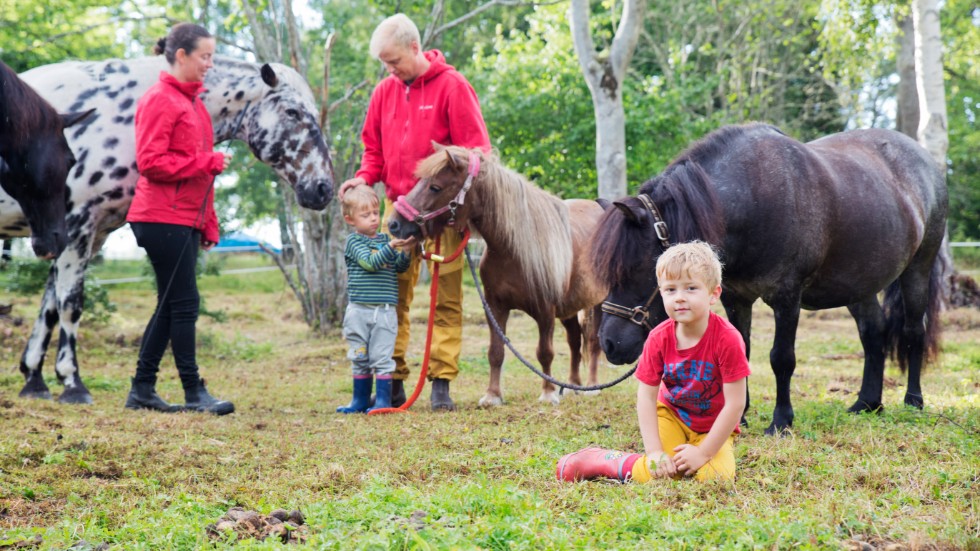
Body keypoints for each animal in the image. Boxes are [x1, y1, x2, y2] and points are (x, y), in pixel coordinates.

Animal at [388, 144, 604, 408]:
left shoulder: (545, 311)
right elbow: (496, 352)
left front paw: (548, 393)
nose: (395, 224)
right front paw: (492, 395)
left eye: (435, 187)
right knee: (574, 341)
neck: (514, 248)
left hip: (598, 303)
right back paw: (573, 385)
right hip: (569, 308)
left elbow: (545, 352)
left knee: (592, 341)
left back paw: (591, 387)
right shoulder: (494, 306)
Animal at [588, 122, 948, 436]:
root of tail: (927, 163)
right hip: (859, 285)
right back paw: (866, 404)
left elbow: (781, 358)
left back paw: (913, 401)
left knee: (913, 331)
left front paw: (781, 421)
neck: (754, 199)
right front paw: (739, 416)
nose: (609, 343)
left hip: (918, 268)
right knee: (873, 334)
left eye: (637, 267)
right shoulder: (736, 297)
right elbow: (740, 351)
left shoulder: (787, 297)